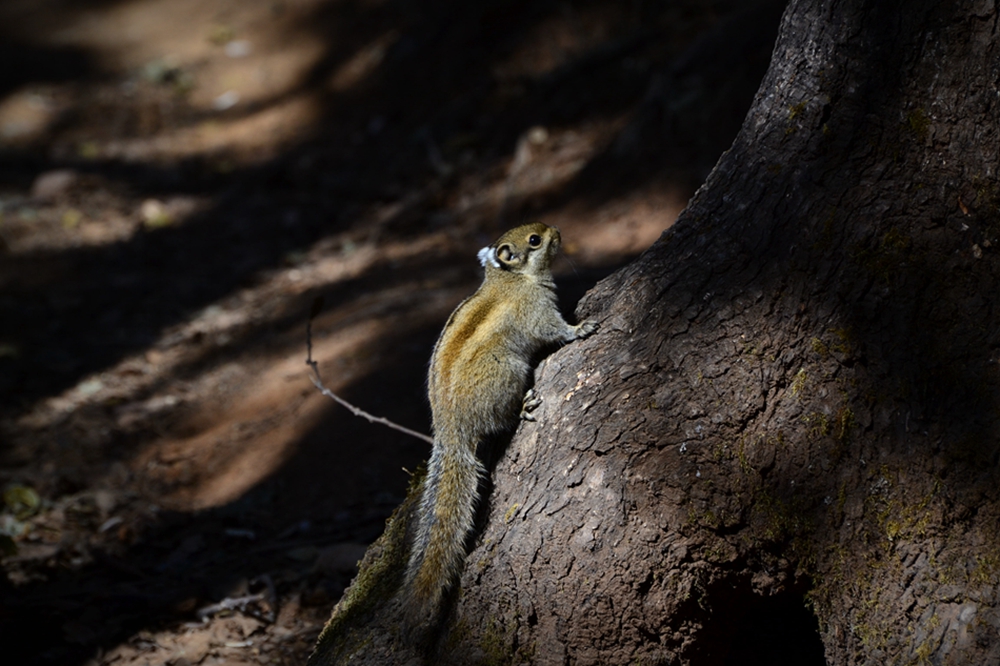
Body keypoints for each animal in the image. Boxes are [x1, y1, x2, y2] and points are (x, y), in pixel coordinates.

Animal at [402, 222, 596, 624]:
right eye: (535, 240)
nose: (556, 229)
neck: (510, 279)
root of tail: (452, 431)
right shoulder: (537, 313)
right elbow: (555, 330)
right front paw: (581, 327)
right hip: (508, 371)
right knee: (501, 417)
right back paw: (523, 406)